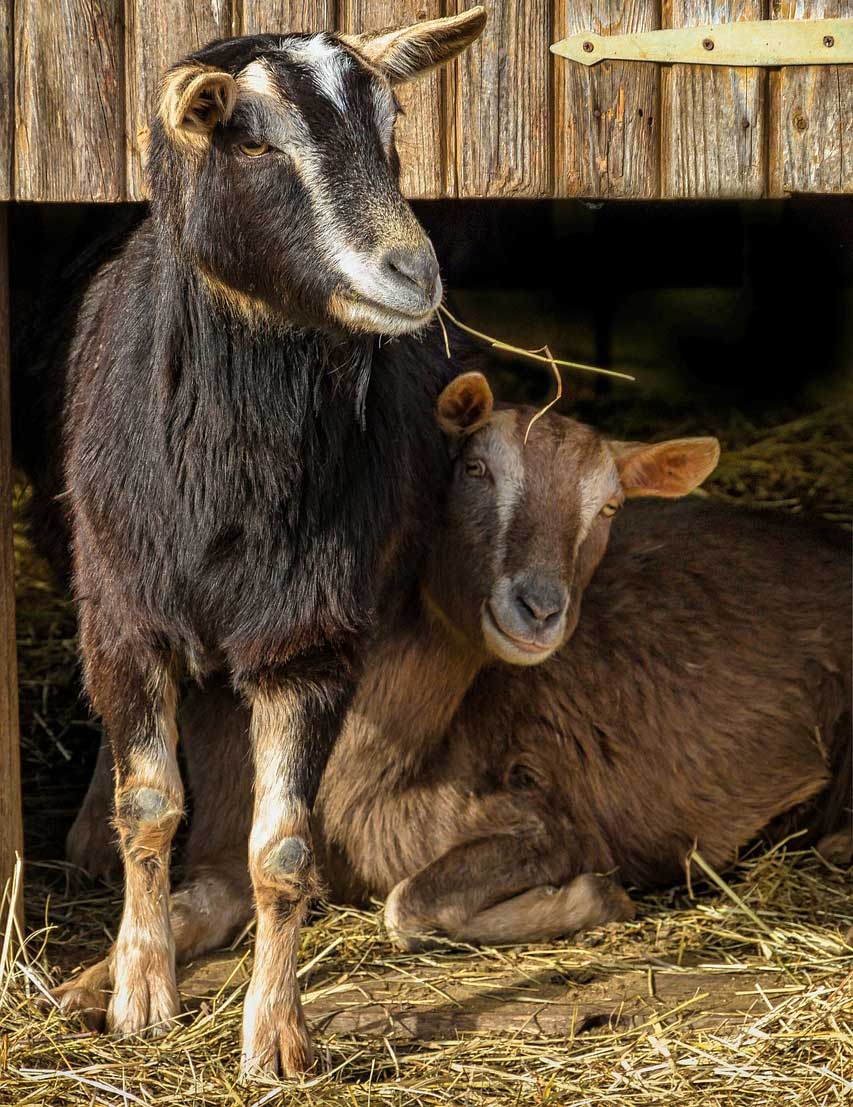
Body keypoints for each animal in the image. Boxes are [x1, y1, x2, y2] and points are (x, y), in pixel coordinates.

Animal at [43, 11, 488, 1078]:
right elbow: (147, 805)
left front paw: (276, 1035)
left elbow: (281, 847)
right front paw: (139, 991)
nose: (412, 272)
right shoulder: (118, 613)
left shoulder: (311, 636)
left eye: (393, 121)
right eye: (247, 138)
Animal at [59, 373, 851, 1017]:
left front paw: (594, 897)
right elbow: (193, 901)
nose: (539, 607)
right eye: (474, 468)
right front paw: (95, 983)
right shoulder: (231, 841)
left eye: (610, 506)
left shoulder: (551, 818)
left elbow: (407, 904)